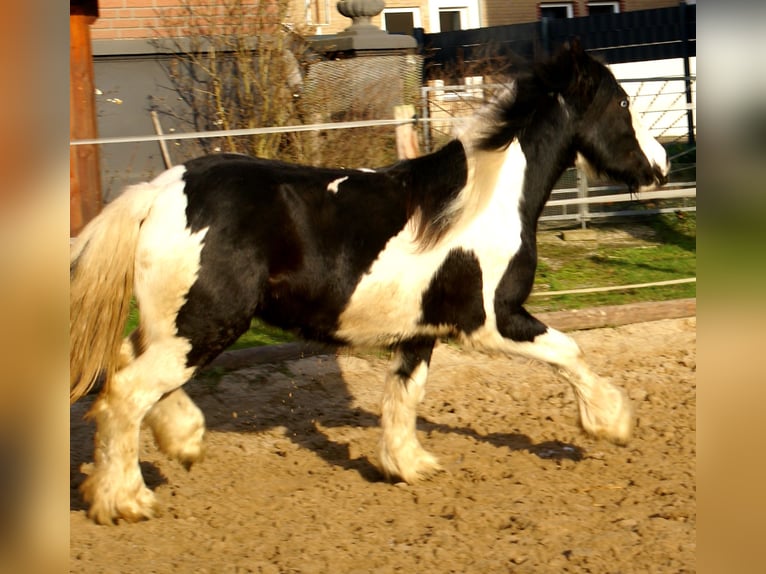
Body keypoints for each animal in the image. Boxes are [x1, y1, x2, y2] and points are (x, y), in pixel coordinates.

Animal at [73, 41, 672, 528]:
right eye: (622, 104)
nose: (662, 165)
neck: (485, 202)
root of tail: (159, 191)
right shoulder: (492, 321)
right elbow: (570, 351)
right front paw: (613, 424)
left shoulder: (420, 332)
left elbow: (404, 395)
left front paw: (408, 466)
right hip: (203, 325)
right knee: (125, 393)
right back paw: (125, 501)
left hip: (176, 325)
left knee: (128, 366)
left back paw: (180, 443)